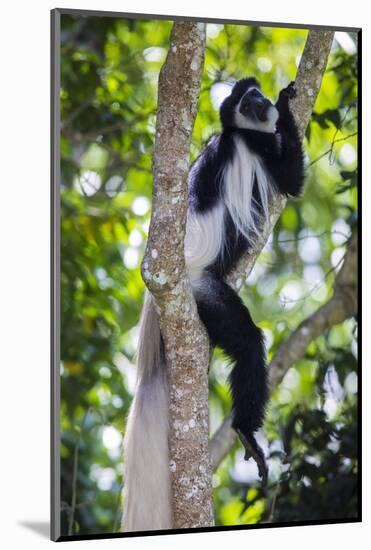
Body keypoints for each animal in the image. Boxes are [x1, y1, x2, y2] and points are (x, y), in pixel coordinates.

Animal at [123, 77, 304, 536]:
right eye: (248, 103)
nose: (261, 102)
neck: (237, 135)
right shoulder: (261, 151)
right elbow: (292, 180)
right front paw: (287, 104)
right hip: (205, 293)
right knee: (249, 347)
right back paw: (245, 431)